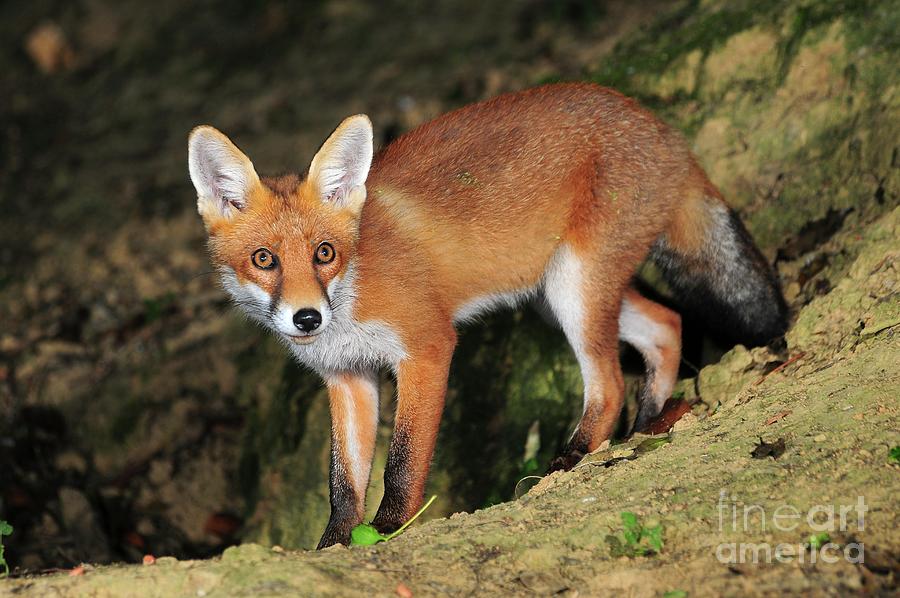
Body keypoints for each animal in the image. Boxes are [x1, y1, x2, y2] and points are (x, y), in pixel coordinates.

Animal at [186, 83, 784, 548]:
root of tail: (658, 124)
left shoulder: (426, 347)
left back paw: (570, 460)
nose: (307, 319)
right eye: (265, 260)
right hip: (555, 295)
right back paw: (646, 427)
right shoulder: (347, 377)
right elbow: (342, 484)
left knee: (611, 383)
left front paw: (389, 530)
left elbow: (402, 462)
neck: (353, 293)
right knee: (666, 325)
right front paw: (334, 546)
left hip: (575, 288)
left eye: (324, 253)